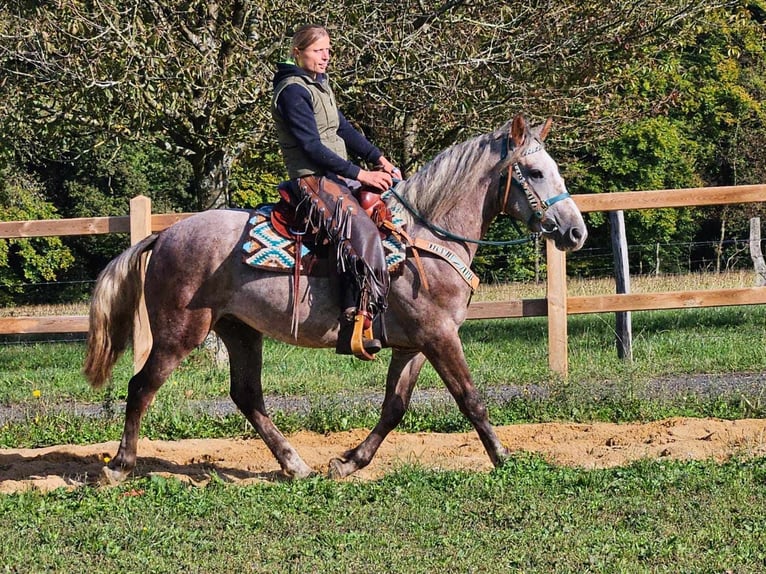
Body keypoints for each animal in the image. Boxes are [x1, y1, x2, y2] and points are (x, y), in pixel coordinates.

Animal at [82, 115, 588, 484]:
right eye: (536, 172)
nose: (575, 232)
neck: (426, 239)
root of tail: (164, 235)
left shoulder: (413, 345)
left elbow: (394, 407)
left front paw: (348, 462)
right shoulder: (440, 337)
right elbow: (471, 400)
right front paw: (504, 457)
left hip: (240, 331)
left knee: (247, 396)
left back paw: (296, 465)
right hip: (178, 334)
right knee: (141, 387)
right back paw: (119, 466)